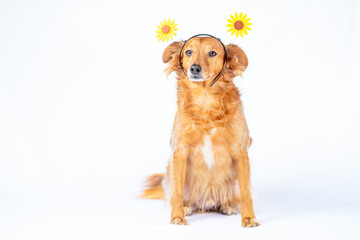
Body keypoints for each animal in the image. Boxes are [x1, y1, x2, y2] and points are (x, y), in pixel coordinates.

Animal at [141, 37, 258, 227]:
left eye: (212, 53)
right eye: (189, 52)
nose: (194, 68)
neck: (205, 98)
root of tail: (208, 203)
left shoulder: (240, 151)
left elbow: (246, 192)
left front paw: (249, 218)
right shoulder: (180, 151)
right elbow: (177, 192)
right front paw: (177, 217)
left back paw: (227, 206)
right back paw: (187, 208)